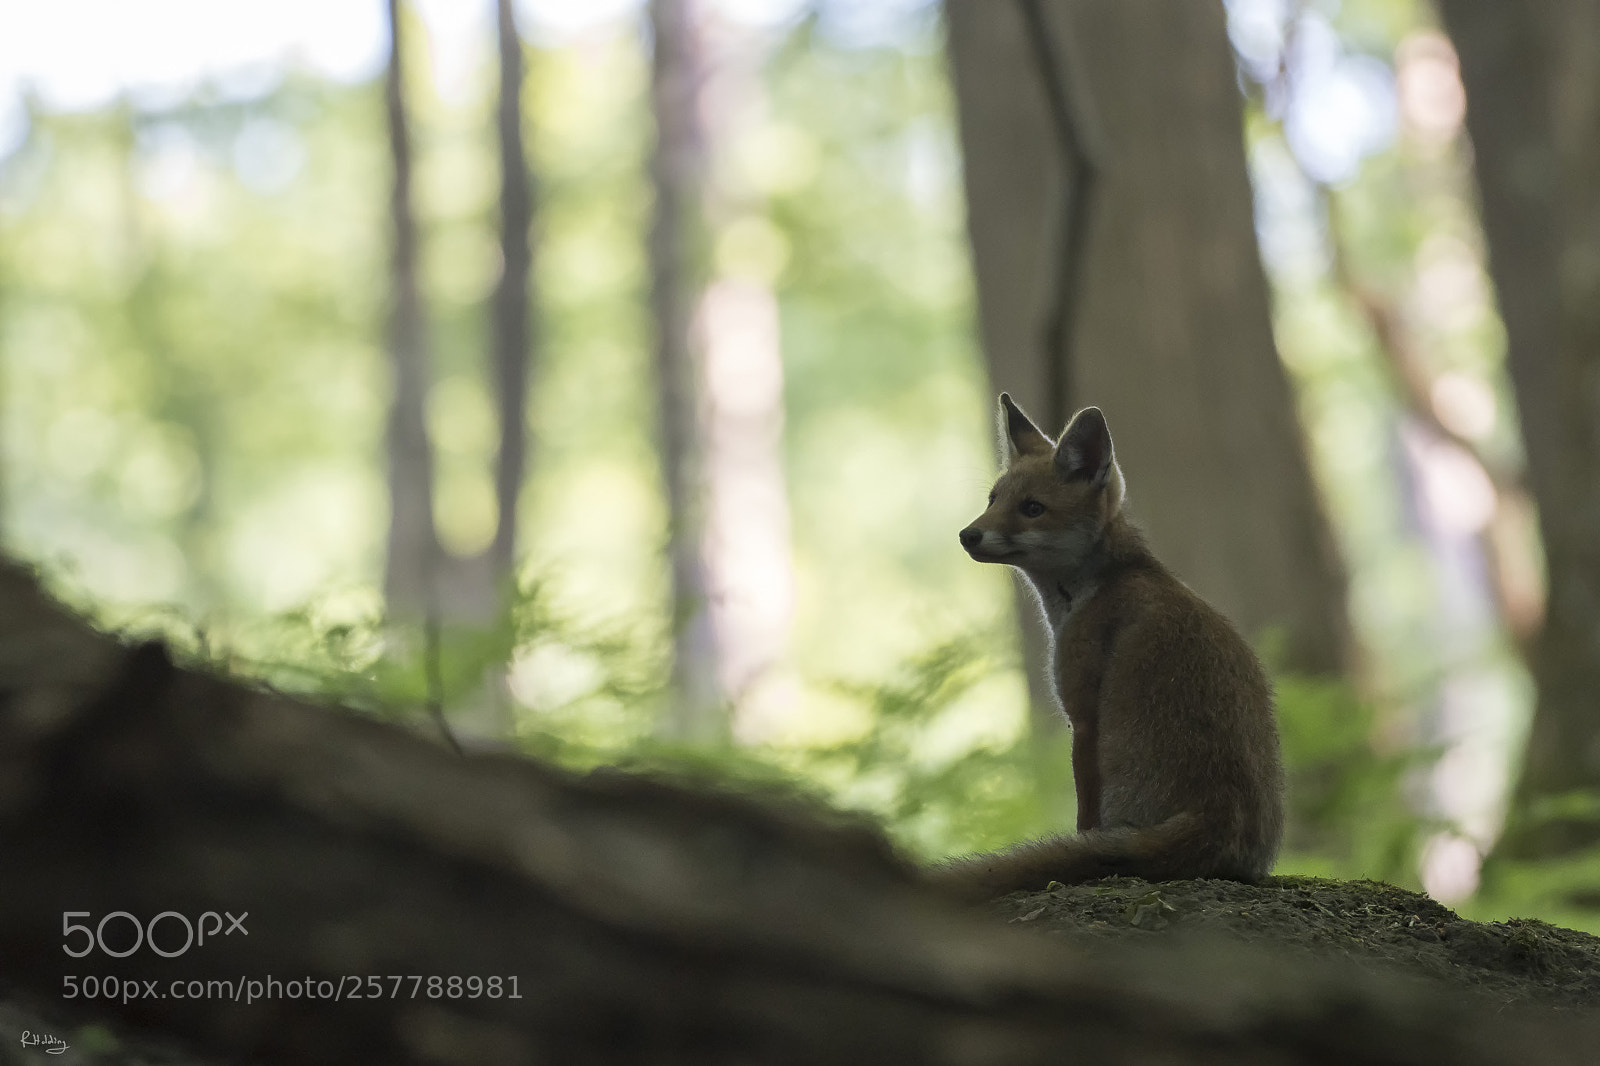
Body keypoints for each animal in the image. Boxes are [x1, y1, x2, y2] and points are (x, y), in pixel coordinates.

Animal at [928, 395, 1284, 901]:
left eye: (1032, 508)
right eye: (993, 500)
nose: (967, 535)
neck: (1102, 583)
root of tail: (1217, 820)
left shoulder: (1082, 717)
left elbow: (1084, 820)